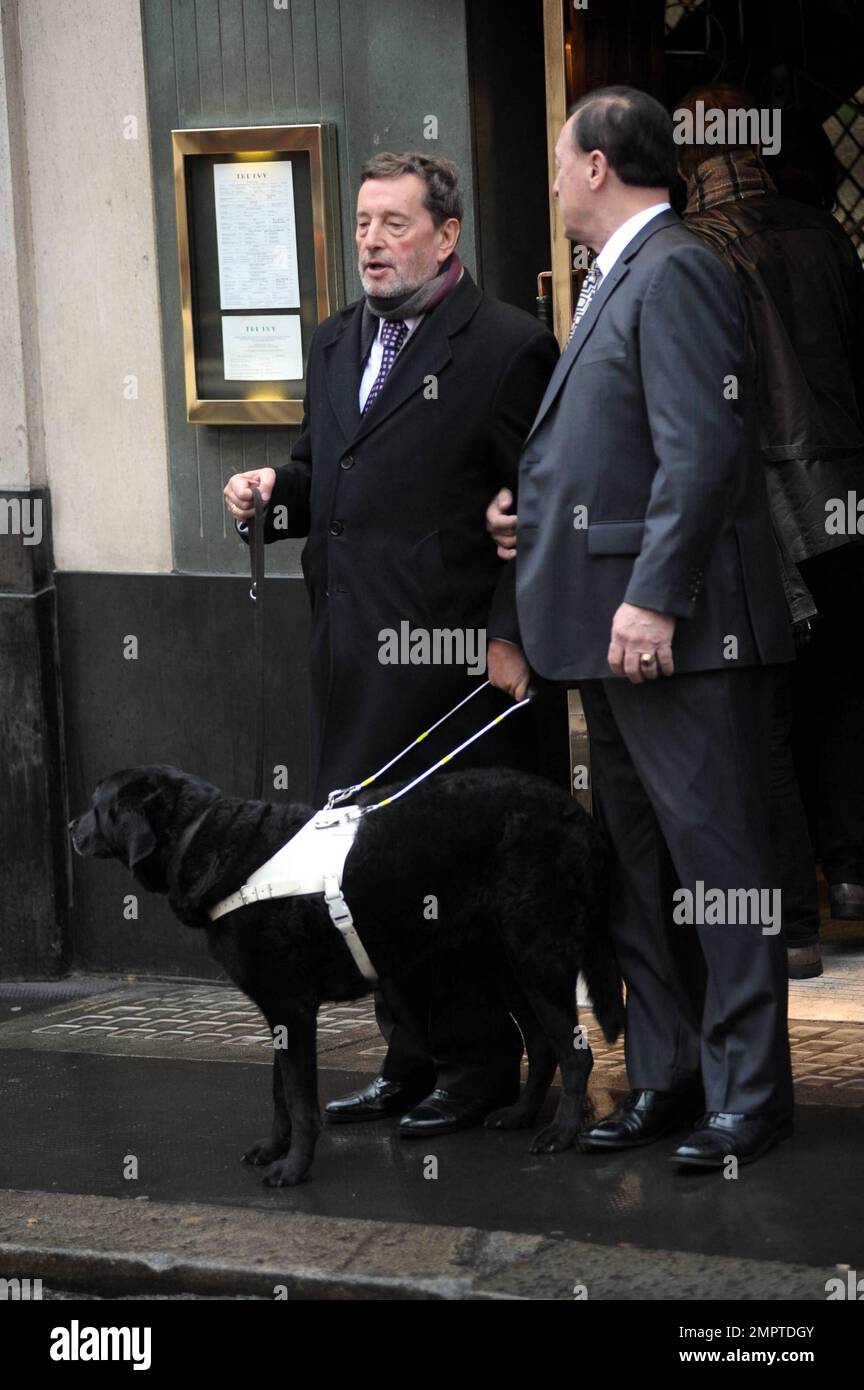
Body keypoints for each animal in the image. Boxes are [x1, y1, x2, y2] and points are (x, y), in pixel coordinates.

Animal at [67, 767, 622, 1189]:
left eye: (95, 804)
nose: (70, 825)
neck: (211, 841)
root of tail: (576, 809)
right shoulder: (280, 1011)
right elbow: (279, 1092)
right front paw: (274, 1148)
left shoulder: (292, 1006)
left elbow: (298, 1099)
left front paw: (293, 1169)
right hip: (503, 962)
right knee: (543, 1046)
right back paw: (520, 1115)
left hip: (537, 954)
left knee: (576, 1053)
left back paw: (561, 1134)